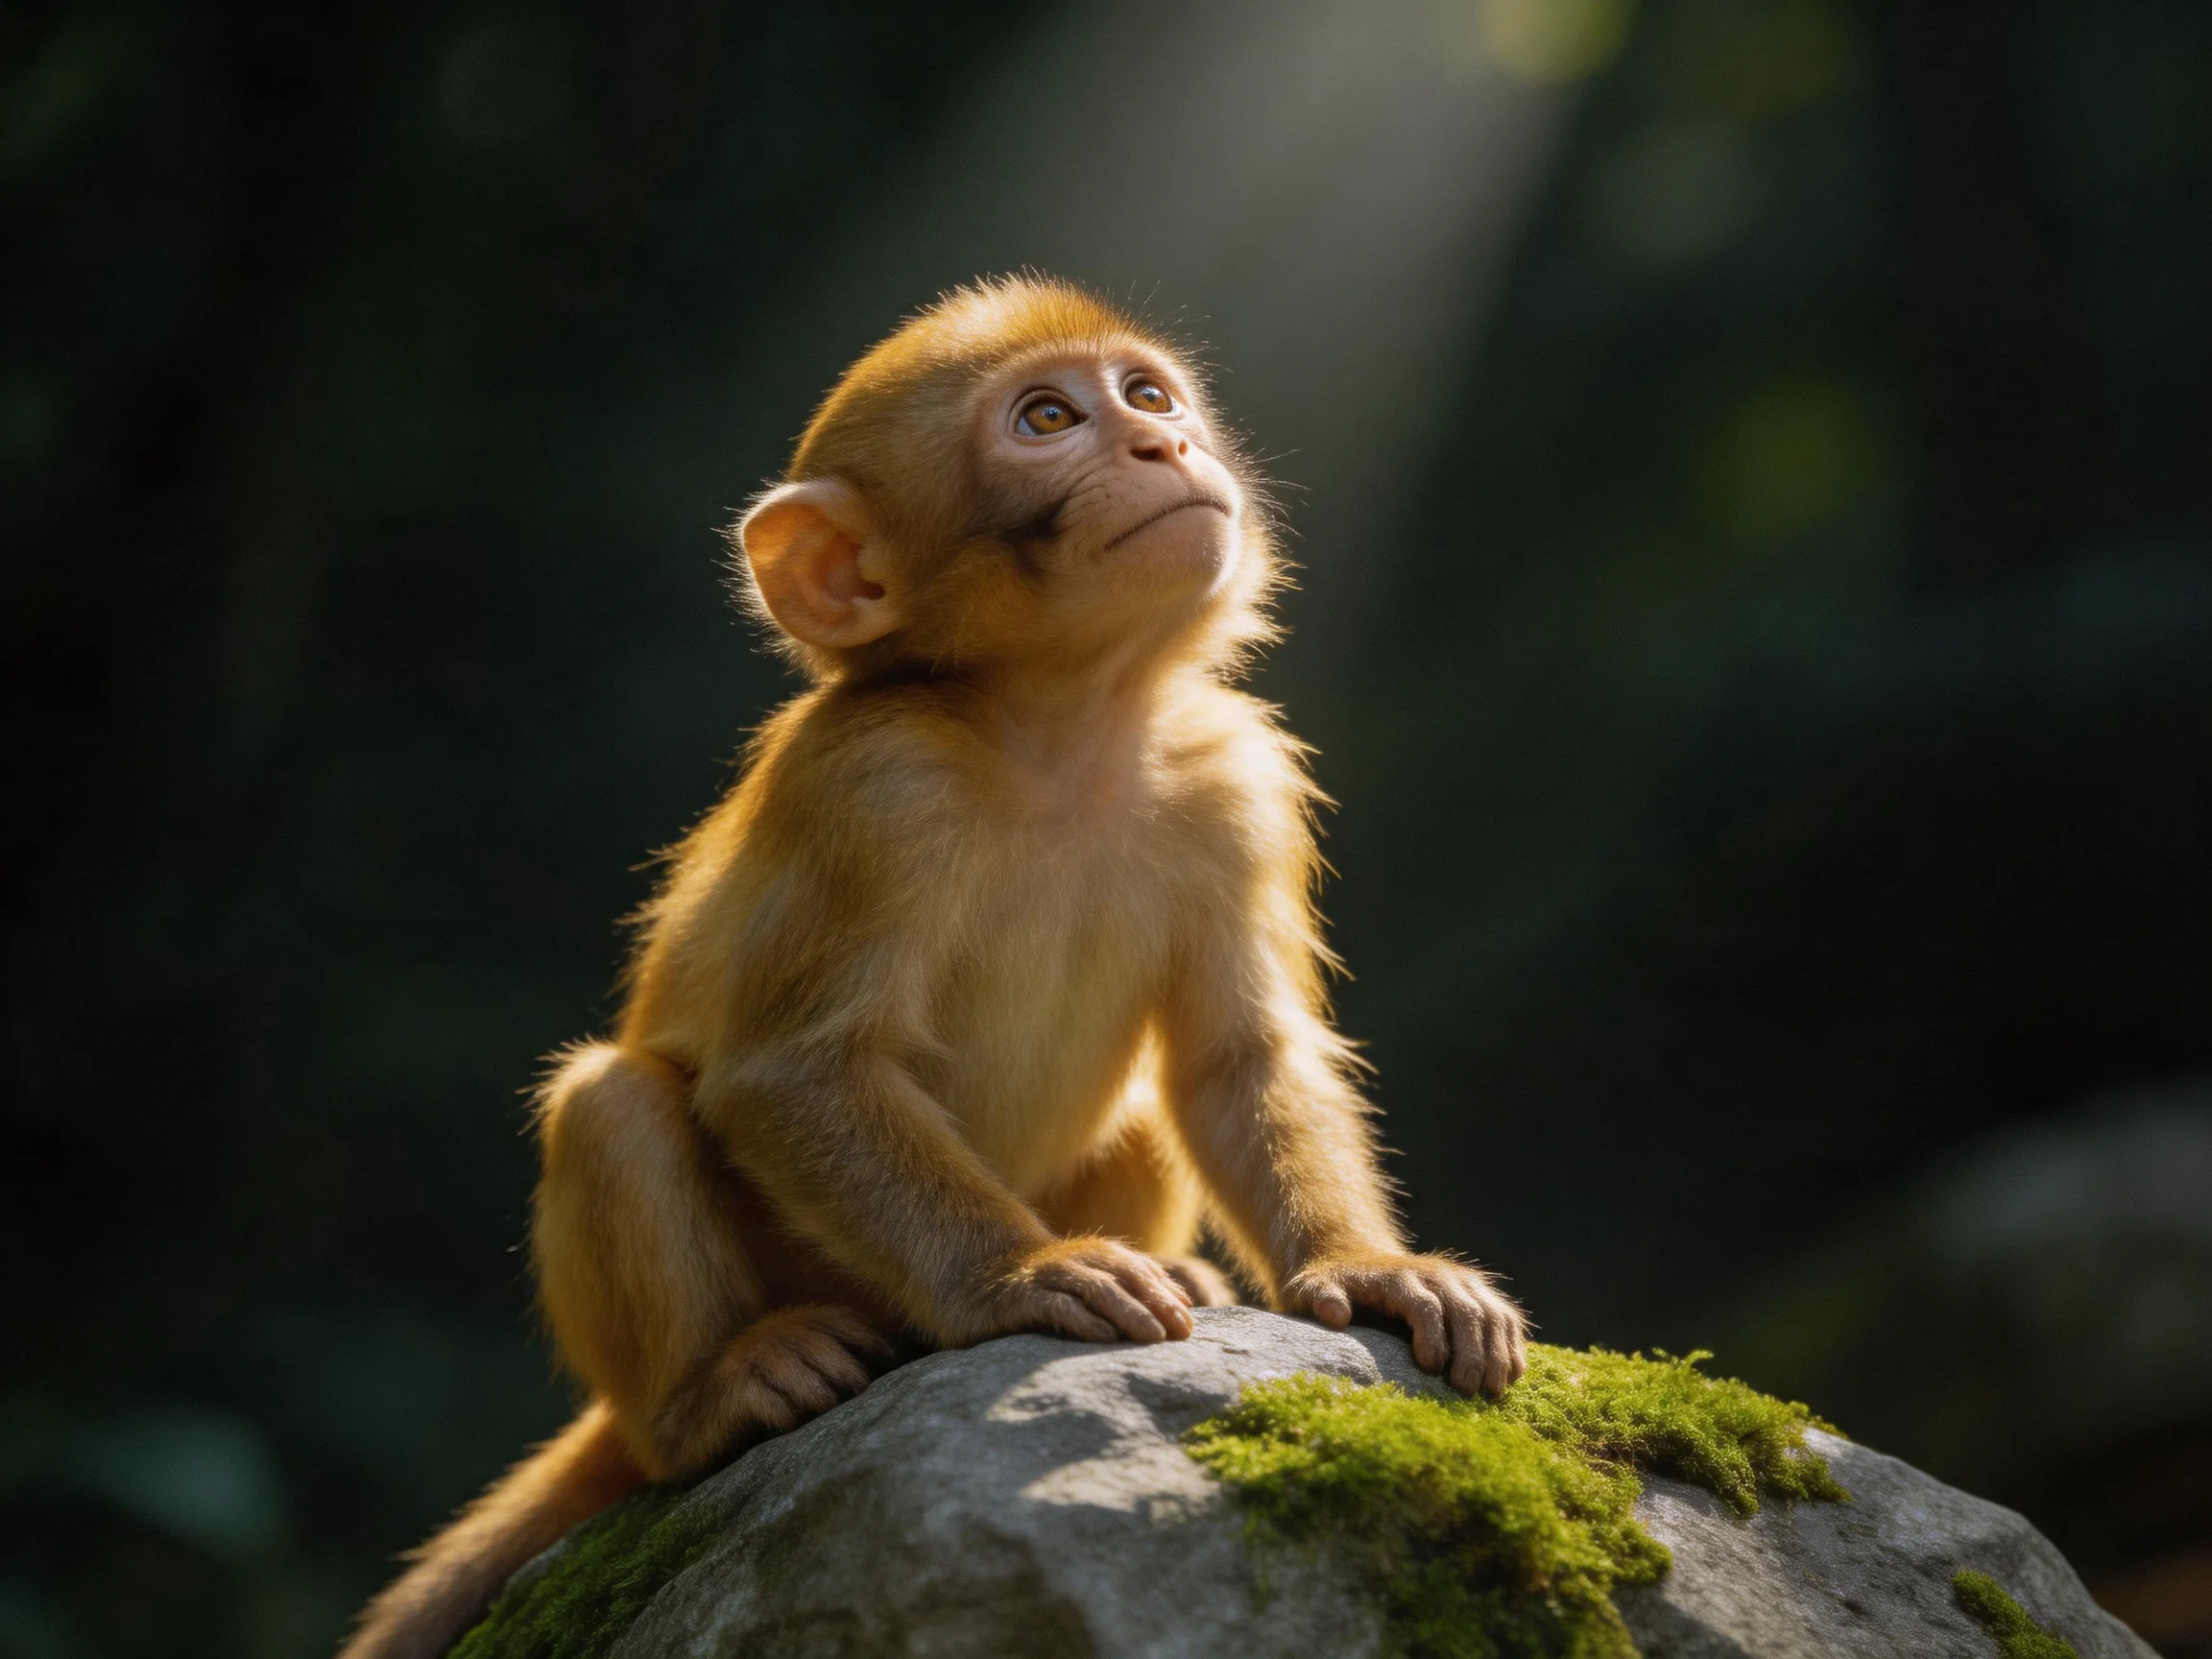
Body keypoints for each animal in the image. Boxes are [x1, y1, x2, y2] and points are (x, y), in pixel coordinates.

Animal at [341, 275, 1527, 1659]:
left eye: (1146, 394)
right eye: (1048, 419)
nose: (1162, 444)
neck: (1062, 730)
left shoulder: (1235, 777)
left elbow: (1239, 1059)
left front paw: (1370, 1270)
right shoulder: (875, 785)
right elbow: (794, 1075)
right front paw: (1022, 1275)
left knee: (1136, 1121)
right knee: (615, 1108)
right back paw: (716, 1392)